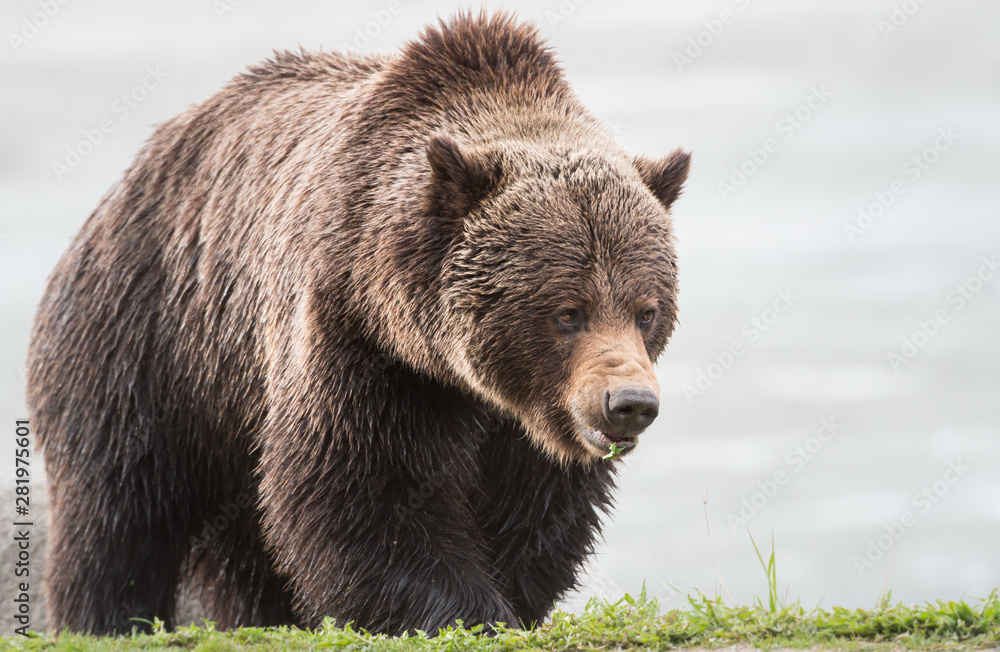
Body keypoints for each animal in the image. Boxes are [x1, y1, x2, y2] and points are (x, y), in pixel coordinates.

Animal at [29, 10, 688, 636]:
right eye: (567, 311)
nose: (629, 403)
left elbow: (535, 508)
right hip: (149, 342)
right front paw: (464, 611)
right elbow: (364, 492)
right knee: (118, 508)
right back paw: (108, 616)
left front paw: (508, 598)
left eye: (646, 309)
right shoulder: (355, 339)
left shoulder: (523, 419)